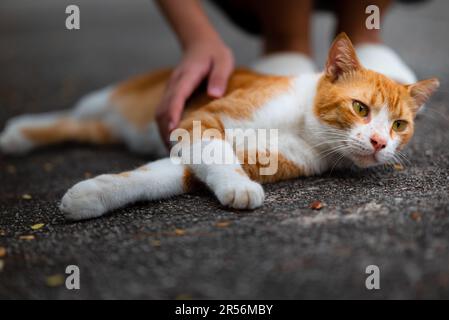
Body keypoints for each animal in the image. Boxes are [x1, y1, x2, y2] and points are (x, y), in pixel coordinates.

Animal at [0, 34, 438, 220]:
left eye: (399, 125)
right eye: (360, 107)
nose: (380, 142)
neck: (303, 125)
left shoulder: (224, 158)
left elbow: (152, 178)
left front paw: (89, 196)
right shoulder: (199, 123)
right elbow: (214, 152)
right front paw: (240, 189)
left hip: (110, 127)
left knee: (80, 127)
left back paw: (18, 137)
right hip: (108, 98)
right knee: (71, 114)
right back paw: (17, 130)